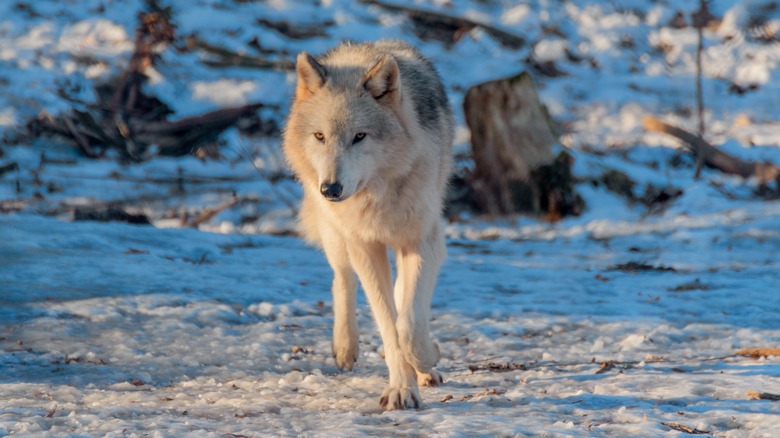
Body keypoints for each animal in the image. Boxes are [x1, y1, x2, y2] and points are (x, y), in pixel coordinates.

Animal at [282, 40, 454, 410]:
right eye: (320, 136)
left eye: (360, 136)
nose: (331, 189)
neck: (377, 195)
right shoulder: (365, 246)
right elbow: (389, 325)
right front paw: (401, 388)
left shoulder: (424, 241)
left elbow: (408, 323)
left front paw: (425, 358)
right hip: (337, 235)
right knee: (342, 279)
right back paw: (345, 347)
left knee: (403, 296)